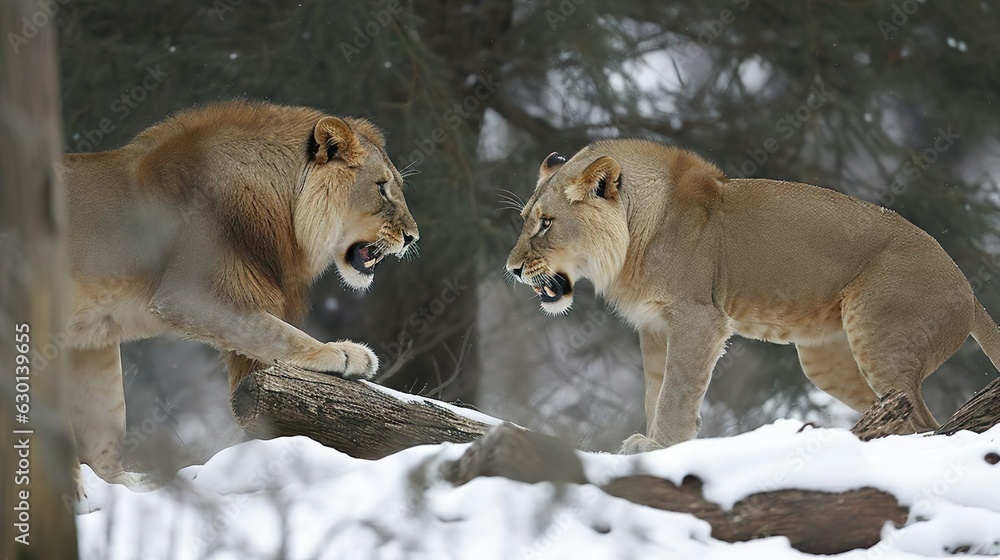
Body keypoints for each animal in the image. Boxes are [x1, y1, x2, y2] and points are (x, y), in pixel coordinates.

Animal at [65, 100, 419, 489]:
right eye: (382, 188)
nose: (413, 237)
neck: (283, 205)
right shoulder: (188, 295)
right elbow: (275, 333)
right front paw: (339, 353)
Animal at [506, 139, 1000, 454]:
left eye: (546, 223)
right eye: (526, 219)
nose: (511, 269)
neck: (633, 239)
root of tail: (969, 288)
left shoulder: (699, 319)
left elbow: (675, 392)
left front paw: (659, 446)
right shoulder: (655, 326)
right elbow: (654, 390)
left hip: (880, 339)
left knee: (927, 427)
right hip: (826, 359)